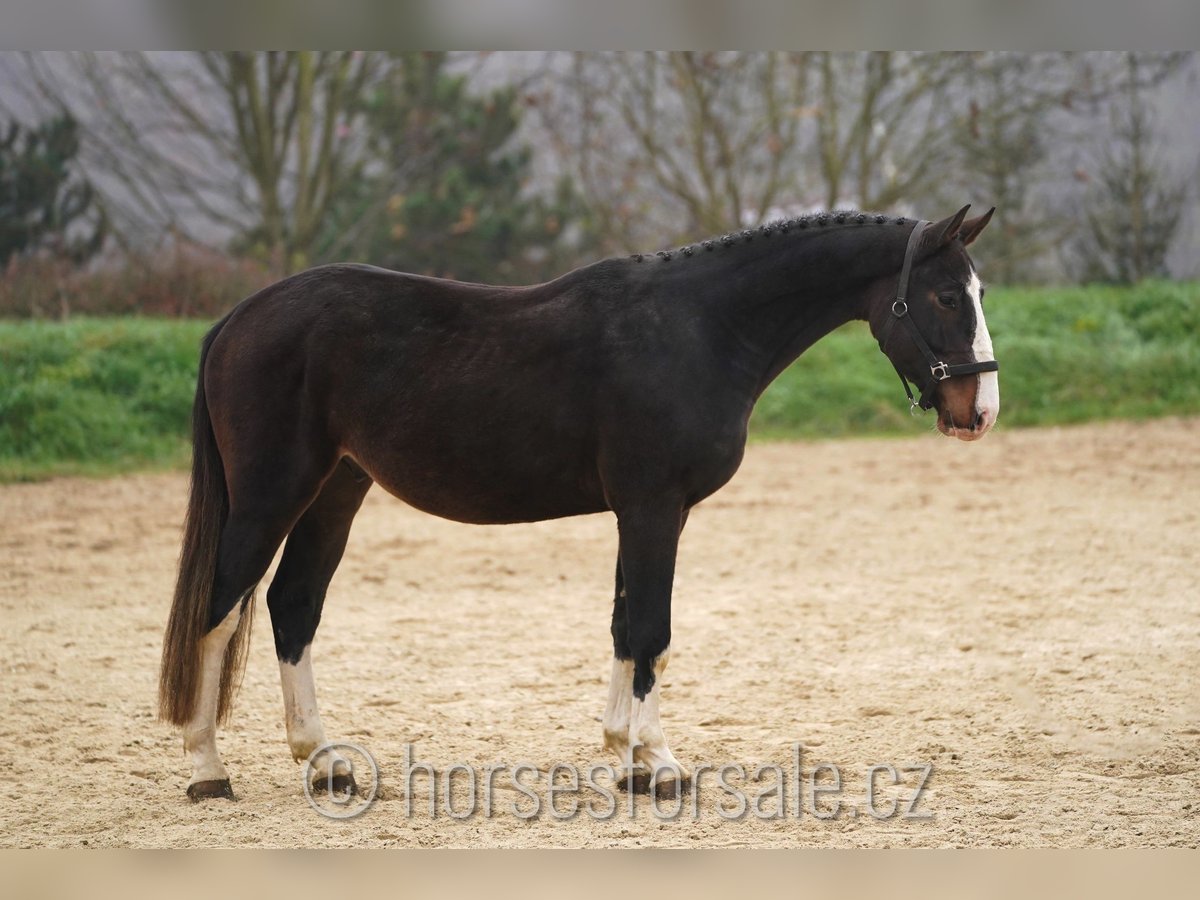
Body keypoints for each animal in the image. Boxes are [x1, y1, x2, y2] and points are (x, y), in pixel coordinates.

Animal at [162, 204, 1003, 801]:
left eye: (980, 291)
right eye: (941, 296)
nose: (980, 412)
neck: (698, 328)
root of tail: (238, 319)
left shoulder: (645, 511)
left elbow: (628, 629)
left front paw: (625, 757)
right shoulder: (654, 506)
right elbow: (653, 628)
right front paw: (660, 765)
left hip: (336, 490)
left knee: (293, 606)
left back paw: (326, 763)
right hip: (271, 496)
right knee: (218, 609)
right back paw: (208, 770)